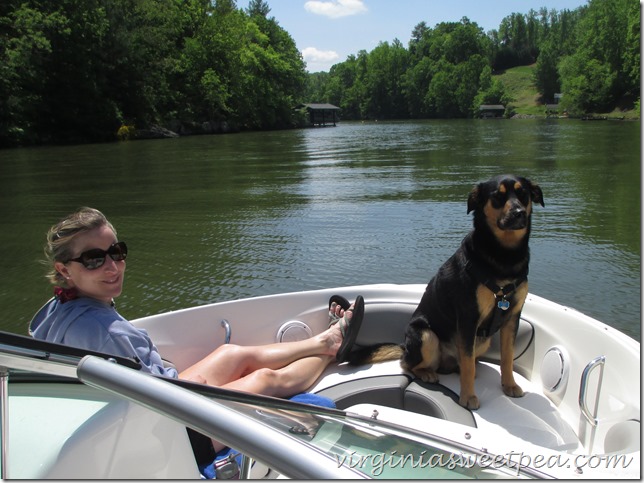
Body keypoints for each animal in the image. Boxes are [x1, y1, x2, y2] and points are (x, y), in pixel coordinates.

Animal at [352, 174, 544, 408]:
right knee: (409, 364)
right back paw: (427, 372)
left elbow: (506, 358)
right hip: (426, 336)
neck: (504, 255)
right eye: (497, 196)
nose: (519, 213)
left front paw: (509, 386)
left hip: (482, 340)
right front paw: (468, 397)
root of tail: (405, 347)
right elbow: (468, 364)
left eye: (523, 193)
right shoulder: (468, 318)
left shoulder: (512, 317)